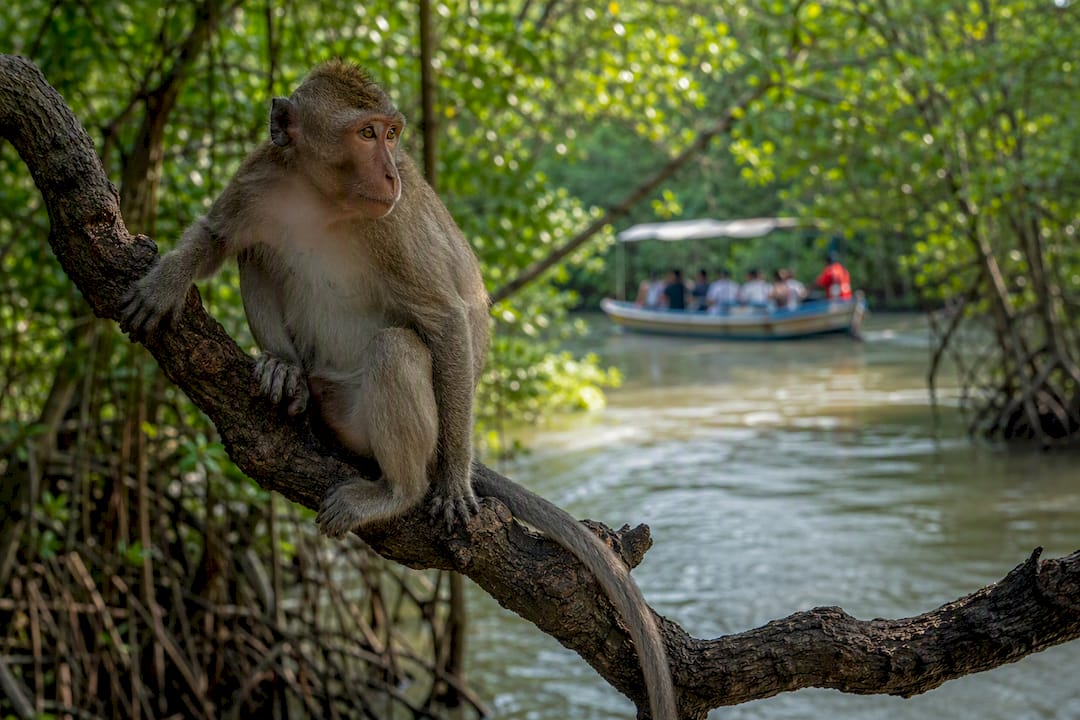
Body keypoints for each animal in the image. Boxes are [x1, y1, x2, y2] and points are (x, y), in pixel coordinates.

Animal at [119, 60, 675, 719]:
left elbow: (445, 320)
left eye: (390, 133)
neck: (325, 198)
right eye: (365, 133)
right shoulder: (260, 178)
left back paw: (401, 489)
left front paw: (455, 481)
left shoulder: (395, 222)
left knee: (398, 349)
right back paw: (286, 371)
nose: (390, 170)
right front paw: (166, 282)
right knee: (256, 252)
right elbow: (218, 236)